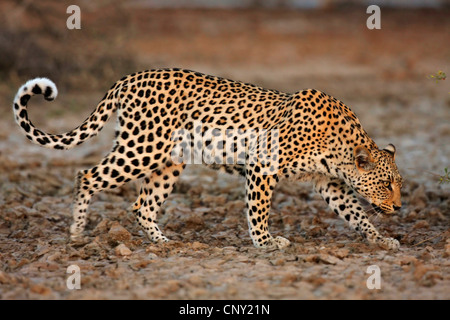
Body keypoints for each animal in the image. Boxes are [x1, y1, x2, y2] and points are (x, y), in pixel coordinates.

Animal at [13, 69, 404, 251]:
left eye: (398, 184)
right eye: (386, 184)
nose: (399, 207)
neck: (339, 150)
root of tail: (132, 76)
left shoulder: (330, 183)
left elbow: (356, 213)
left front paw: (382, 240)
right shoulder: (262, 166)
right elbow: (258, 210)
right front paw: (265, 243)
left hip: (167, 162)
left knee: (142, 204)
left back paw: (164, 242)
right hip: (141, 148)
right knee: (87, 175)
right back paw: (77, 234)